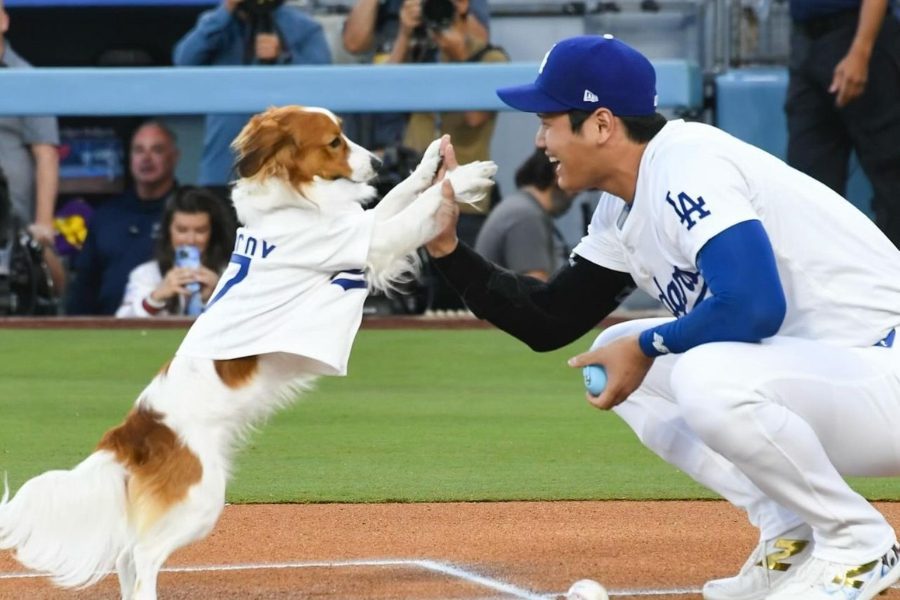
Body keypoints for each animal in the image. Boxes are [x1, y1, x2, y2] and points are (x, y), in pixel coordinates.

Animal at [0, 105, 496, 596]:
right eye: (334, 142)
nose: (376, 163)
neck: (292, 205)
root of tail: (135, 431)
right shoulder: (369, 242)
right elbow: (419, 207)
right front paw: (465, 177)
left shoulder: (361, 228)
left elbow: (399, 195)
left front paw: (430, 163)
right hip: (201, 498)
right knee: (140, 556)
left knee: (127, 556)